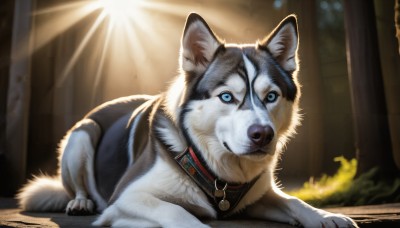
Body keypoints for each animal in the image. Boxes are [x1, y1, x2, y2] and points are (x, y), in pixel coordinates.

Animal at [17, 13, 358, 227]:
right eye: (226, 97)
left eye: (271, 96)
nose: (262, 134)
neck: (216, 170)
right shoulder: (127, 197)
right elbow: (178, 214)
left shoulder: (259, 197)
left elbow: (293, 202)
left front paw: (325, 216)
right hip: (81, 137)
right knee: (77, 185)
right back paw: (81, 202)